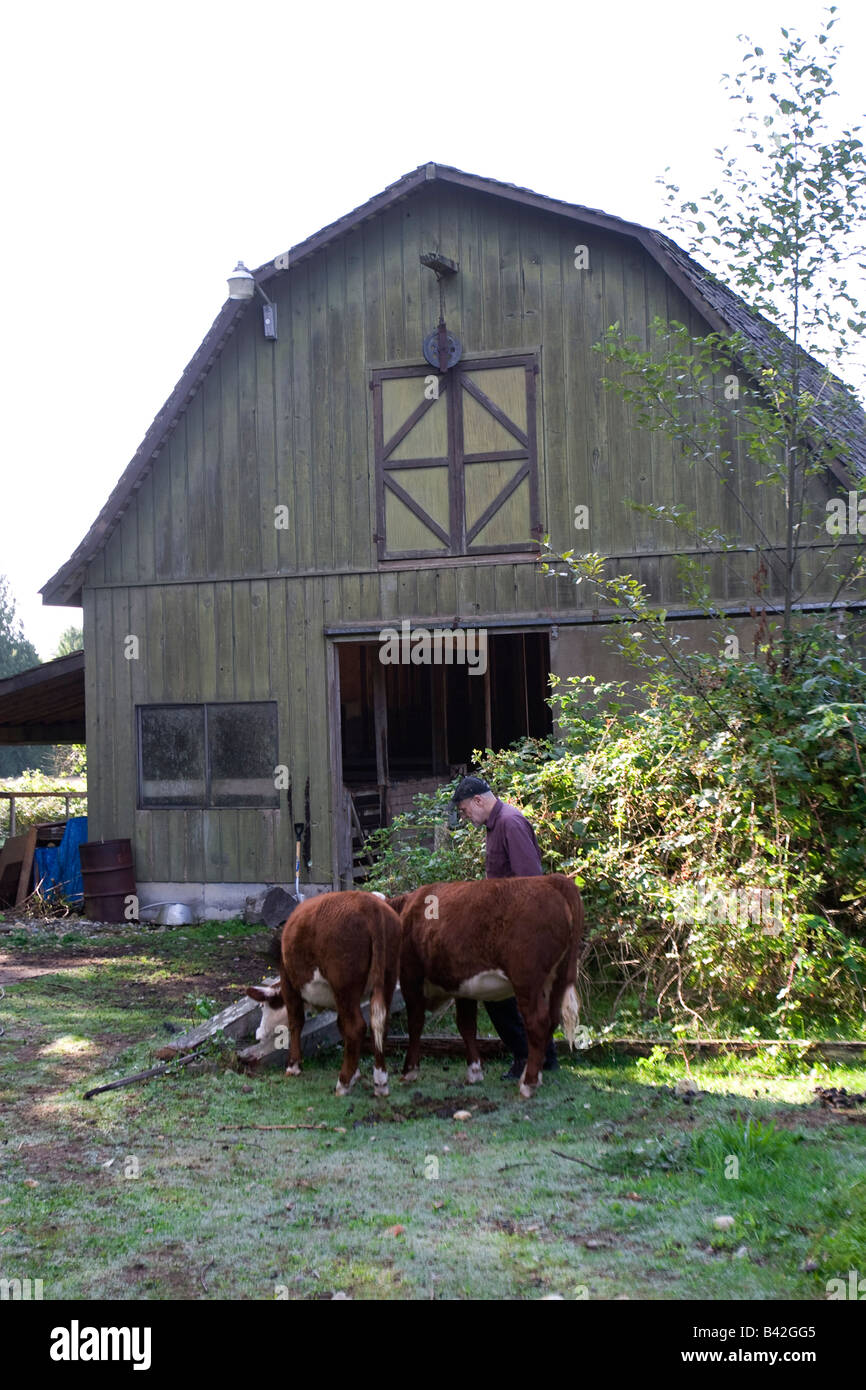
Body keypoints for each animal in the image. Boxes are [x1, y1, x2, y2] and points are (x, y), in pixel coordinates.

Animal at [247, 889, 403, 1095]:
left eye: (263, 1006)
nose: (258, 1033)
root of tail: (371, 905)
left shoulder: (290, 985)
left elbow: (295, 1023)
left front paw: (293, 1066)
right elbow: (340, 1026)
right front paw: (356, 1073)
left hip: (344, 986)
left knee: (356, 1027)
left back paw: (343, 1083)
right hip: (387, 979)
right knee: (380, 1025)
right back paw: (381, 1082)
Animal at [391, 878, 583, 1095]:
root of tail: (551, 879)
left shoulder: (410, 977)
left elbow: (415, 1024)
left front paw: (409, 1072)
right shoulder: (462, 985)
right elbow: (466, 1025)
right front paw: (474, 1072)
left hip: (527, 980)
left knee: (538, 1022)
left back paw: (528, 1082)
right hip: (558, 979)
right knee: (552, 1019)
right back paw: (530, 1075)